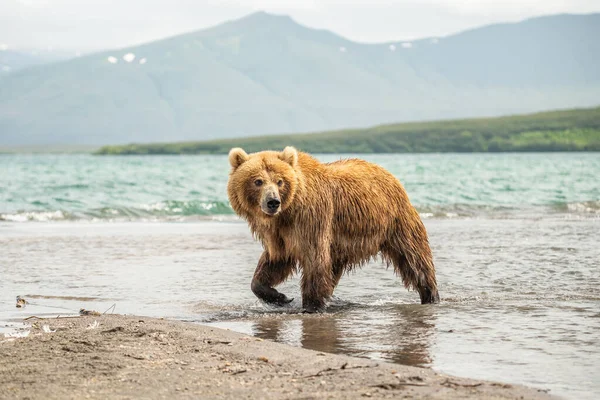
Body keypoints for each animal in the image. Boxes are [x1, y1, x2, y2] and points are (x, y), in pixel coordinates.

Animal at [227, 147, 438, 312]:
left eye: (280, 181)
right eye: (258, 181)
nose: (273, 202)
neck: (287, 213)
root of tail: (389, 174)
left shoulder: (311, 219)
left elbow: (315, 259)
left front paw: (311, 306)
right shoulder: (279, 235)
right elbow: (274, 261)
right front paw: (279, 297)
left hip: (396, 222)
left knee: (415, 259)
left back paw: (431, 295)